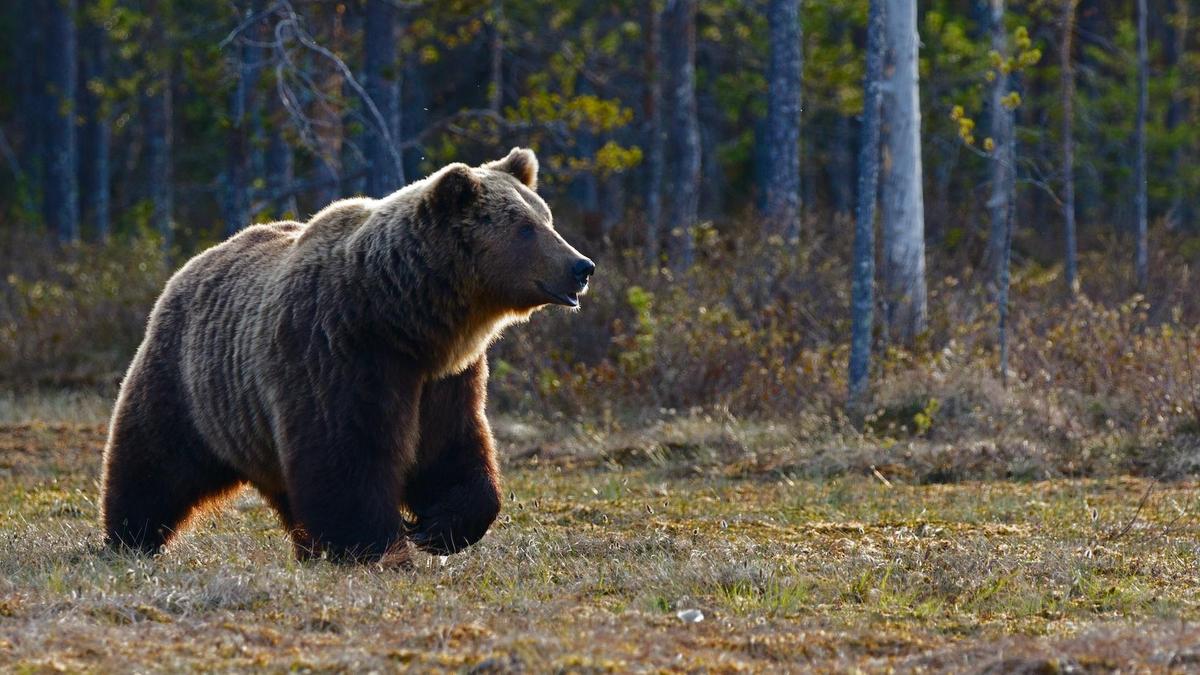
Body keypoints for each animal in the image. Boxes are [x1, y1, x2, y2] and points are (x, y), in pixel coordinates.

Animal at [99, 148, 595, 562]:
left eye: (546, 218)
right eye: (525, 228)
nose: (582, 266)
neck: (404, 319)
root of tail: (192, 264)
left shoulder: (445, 378)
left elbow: (452, 448)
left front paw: (438, 528)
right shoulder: (339, 353)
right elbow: (346, 455)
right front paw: (377, 545)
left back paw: (306, 547)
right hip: (190, 381)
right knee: (153, 460)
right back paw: (129, 537)